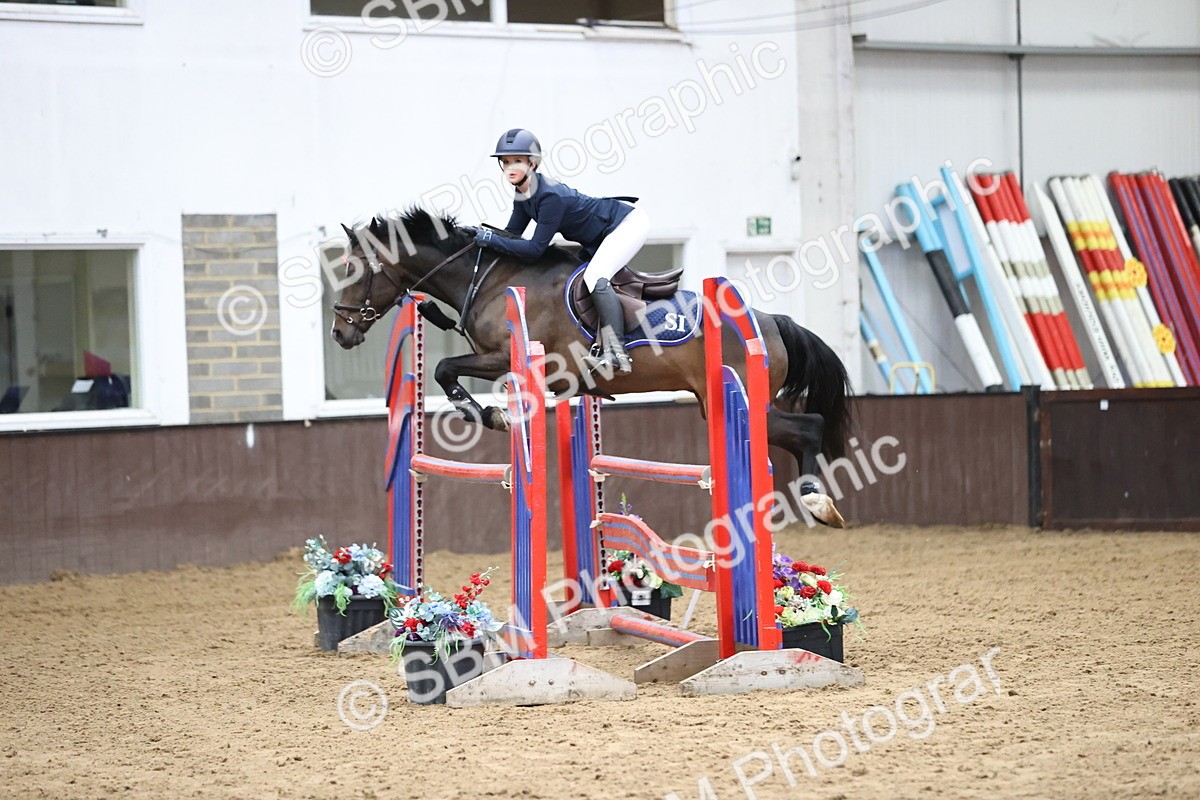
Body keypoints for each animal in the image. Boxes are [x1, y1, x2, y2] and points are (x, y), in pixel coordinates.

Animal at [330, 210, 853, 527]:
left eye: (352, 270)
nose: (339, 332)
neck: (490, 278)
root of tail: (770, 321)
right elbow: (446, 370)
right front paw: (490, 414)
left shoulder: (503, 359)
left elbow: (443, 368)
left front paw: (491, 416)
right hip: (716, 404)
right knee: (804, 428)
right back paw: (816, 500)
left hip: (737, 398)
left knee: (810, 426)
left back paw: (815, 500)